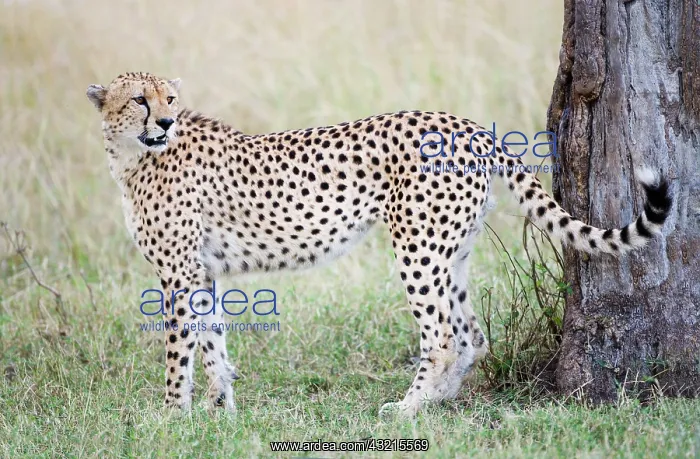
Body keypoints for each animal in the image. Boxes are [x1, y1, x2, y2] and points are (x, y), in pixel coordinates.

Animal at [86, 72, 673, 417]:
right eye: (139, 99)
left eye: (169, 99)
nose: (165, 120)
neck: (134, 153)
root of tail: (469, 126)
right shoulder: (201, 272)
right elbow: (212, 342)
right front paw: (221, 408)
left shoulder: (179, 273)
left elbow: (178, 349)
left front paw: (173, 415)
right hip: (451, 251)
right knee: (472, 334)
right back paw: (435, 402)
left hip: (418, 248)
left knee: (441, 336)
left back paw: (405, 410)